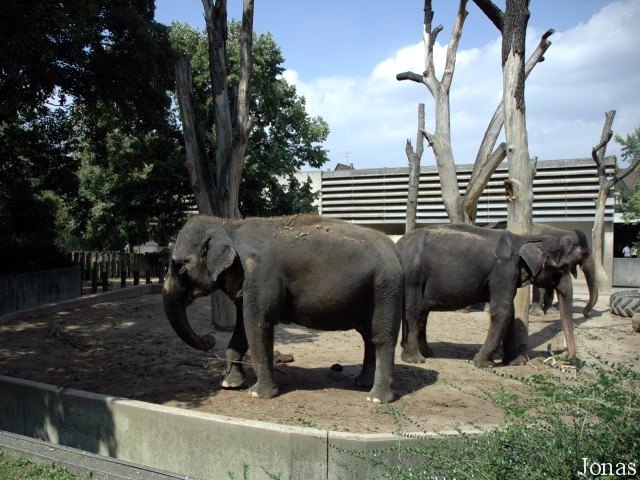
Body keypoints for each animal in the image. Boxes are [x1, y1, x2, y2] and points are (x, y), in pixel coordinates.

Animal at [161, 214, 400, 402]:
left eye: (178, 266)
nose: (209, 340)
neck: (227, 225)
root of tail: (393, 248)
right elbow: (242, 329)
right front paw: (230, 384)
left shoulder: (260, 276)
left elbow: (257, 325)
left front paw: (257, 394)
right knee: (369, 337)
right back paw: (362, 383)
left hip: (384, 290)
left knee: (382, 338)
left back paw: (376, 398)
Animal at [400, 223, 576, 366]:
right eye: (562, 268)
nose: (565, 358)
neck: (526, 238)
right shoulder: (504, 271)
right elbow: (502, 311)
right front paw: (483, 363)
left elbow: (510, 313)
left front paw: (515, 362)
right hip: (413, 276)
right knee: (414, 311)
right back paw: (416, 359)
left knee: (421, 313)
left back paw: (427, 353)